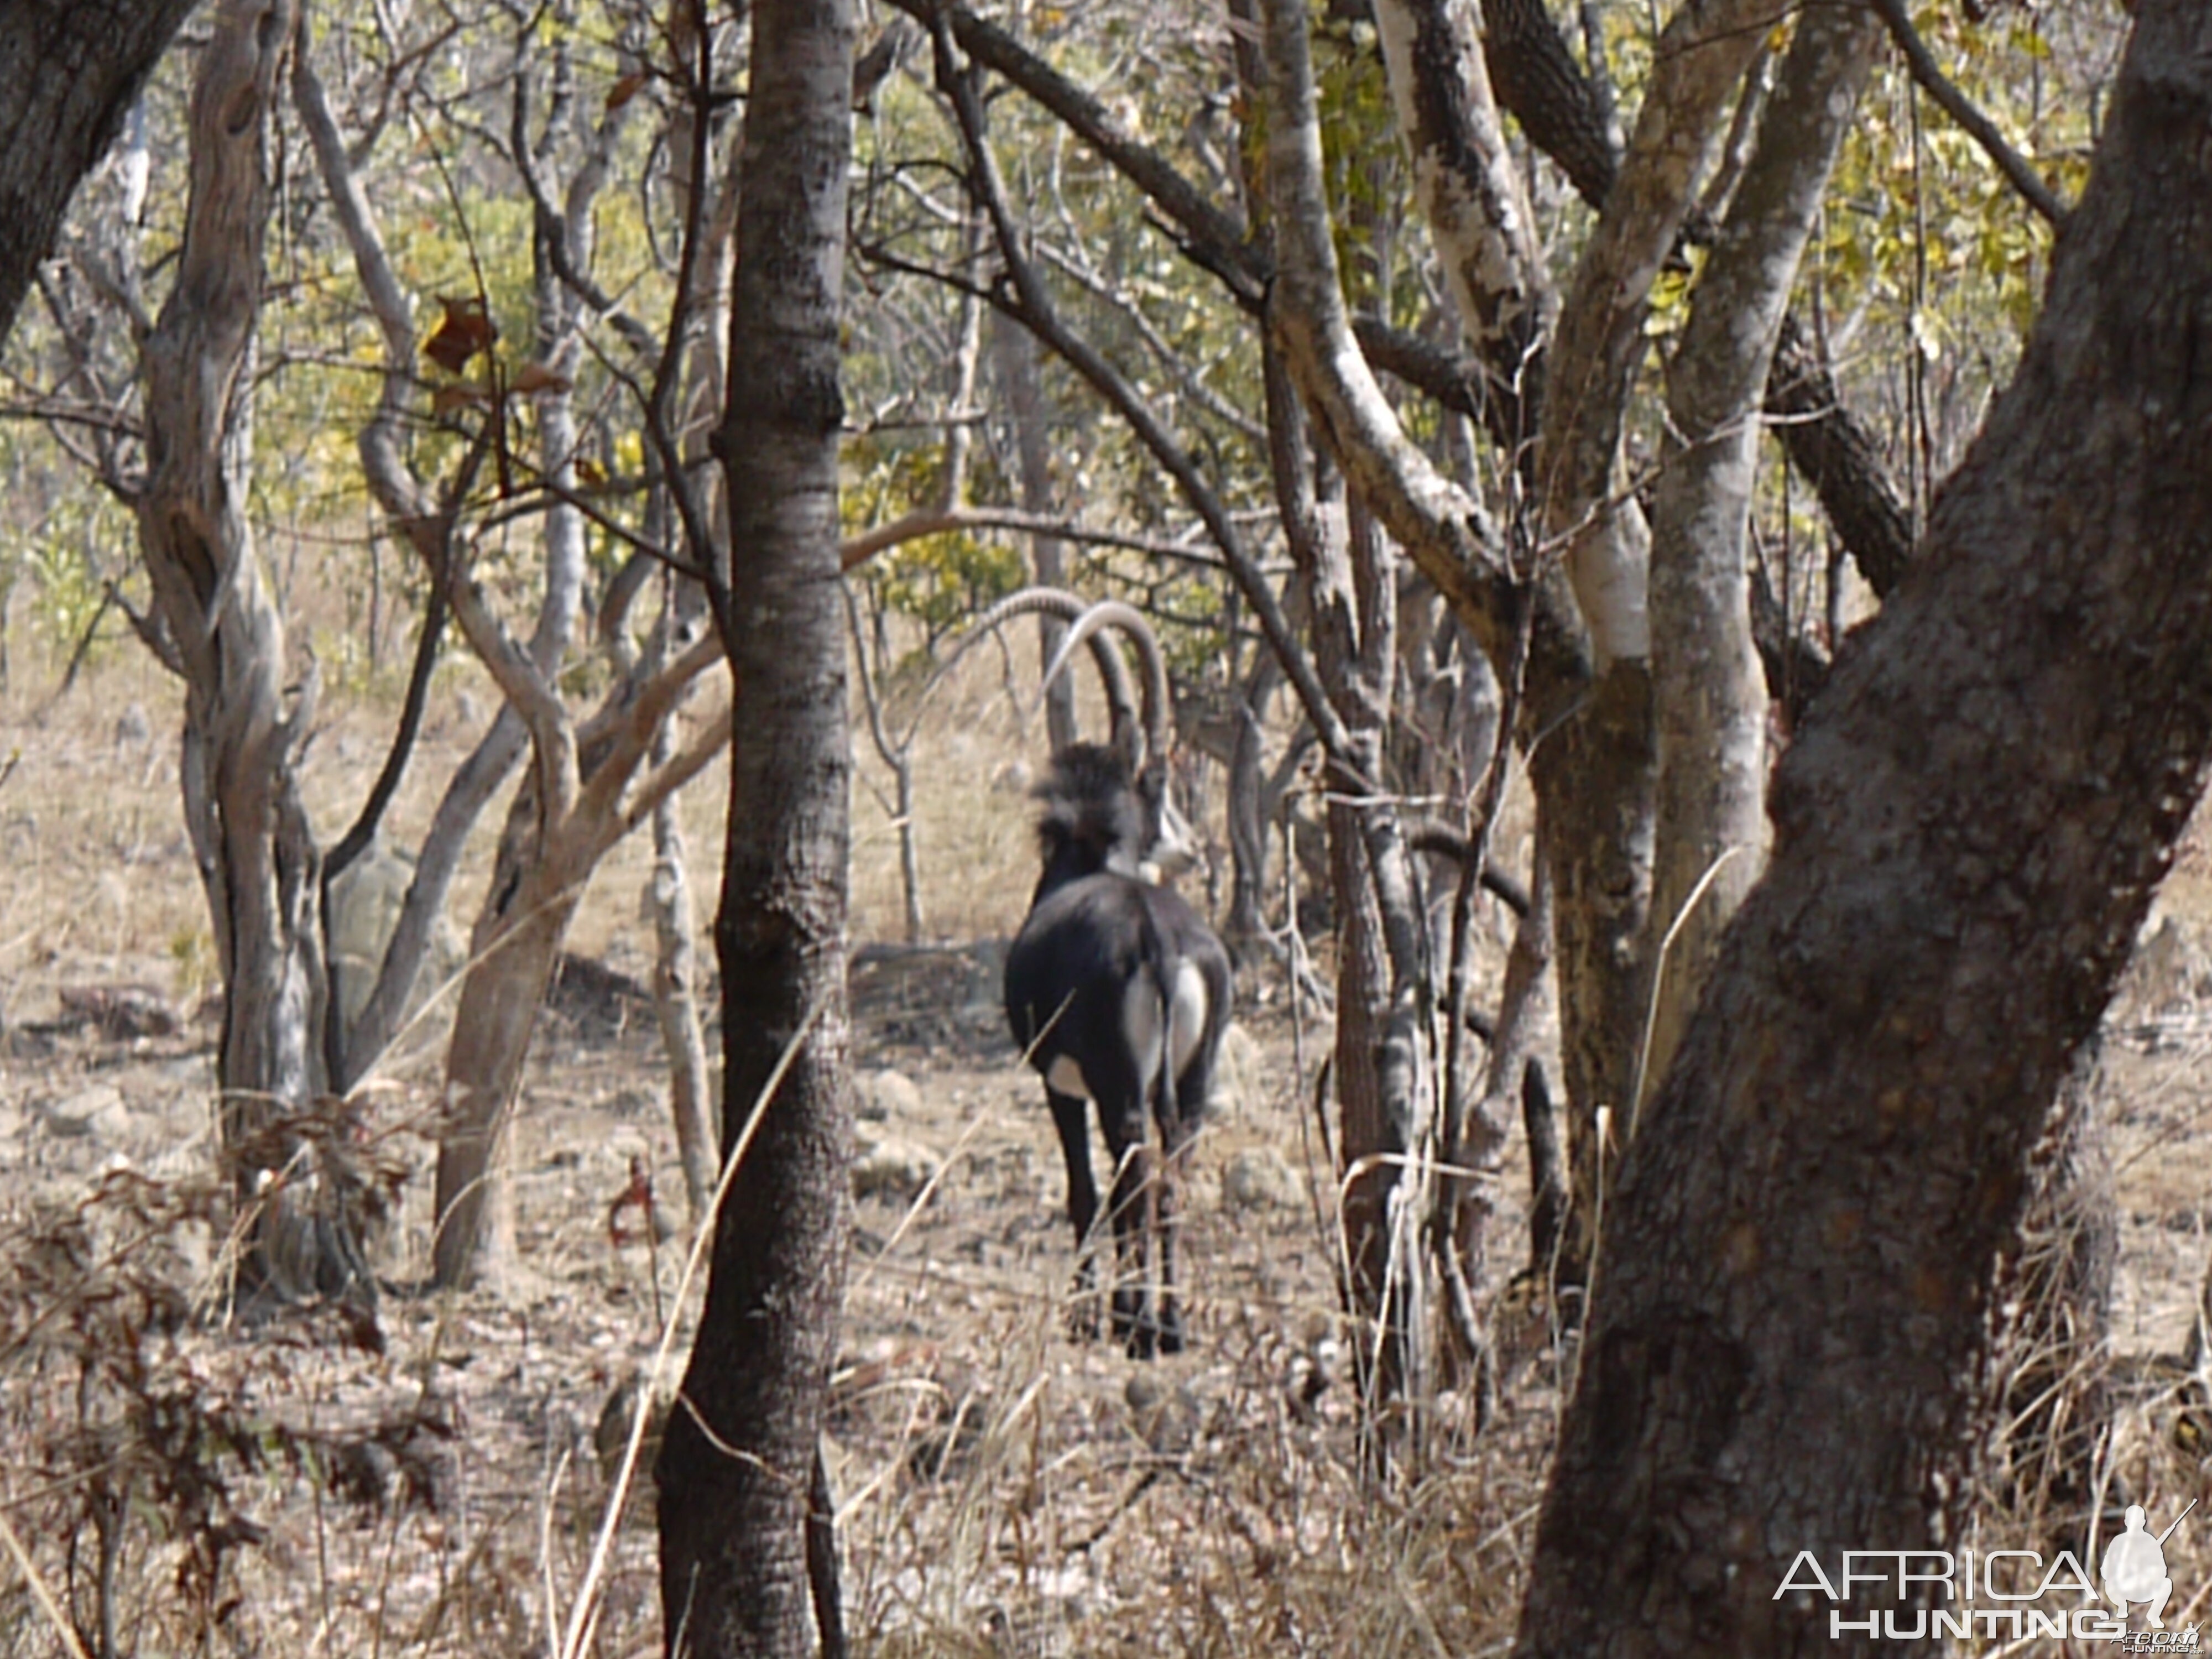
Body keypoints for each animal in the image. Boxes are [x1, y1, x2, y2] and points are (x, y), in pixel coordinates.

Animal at [969, 593, 1248, 1354]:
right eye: (1160, 784)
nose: (1190, 849)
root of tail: (1157, 938)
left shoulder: (1060, 1084)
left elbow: (1085, 1193)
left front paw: (1086, 1312)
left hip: (1117, 1081)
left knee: (1137, 1179)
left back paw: (1138, 1323)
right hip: (1191, 1079)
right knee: (1171, 1177)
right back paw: (1171, 1324)